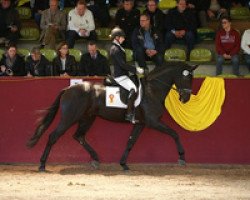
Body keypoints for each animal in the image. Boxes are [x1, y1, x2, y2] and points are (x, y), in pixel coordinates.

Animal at [25, 61, 197, 171]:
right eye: (187, 77)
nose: (185, 98)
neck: (152, 90)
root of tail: (68, 89)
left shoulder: (140, 123)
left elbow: (130, 142)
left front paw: (123, 164)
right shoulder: (153, 122)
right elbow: (174, 134)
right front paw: (182, 157)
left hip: (87, 118)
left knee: (79, 136)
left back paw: (95, 160)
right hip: (69, 118)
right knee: (53, 136)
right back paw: (42, 165)